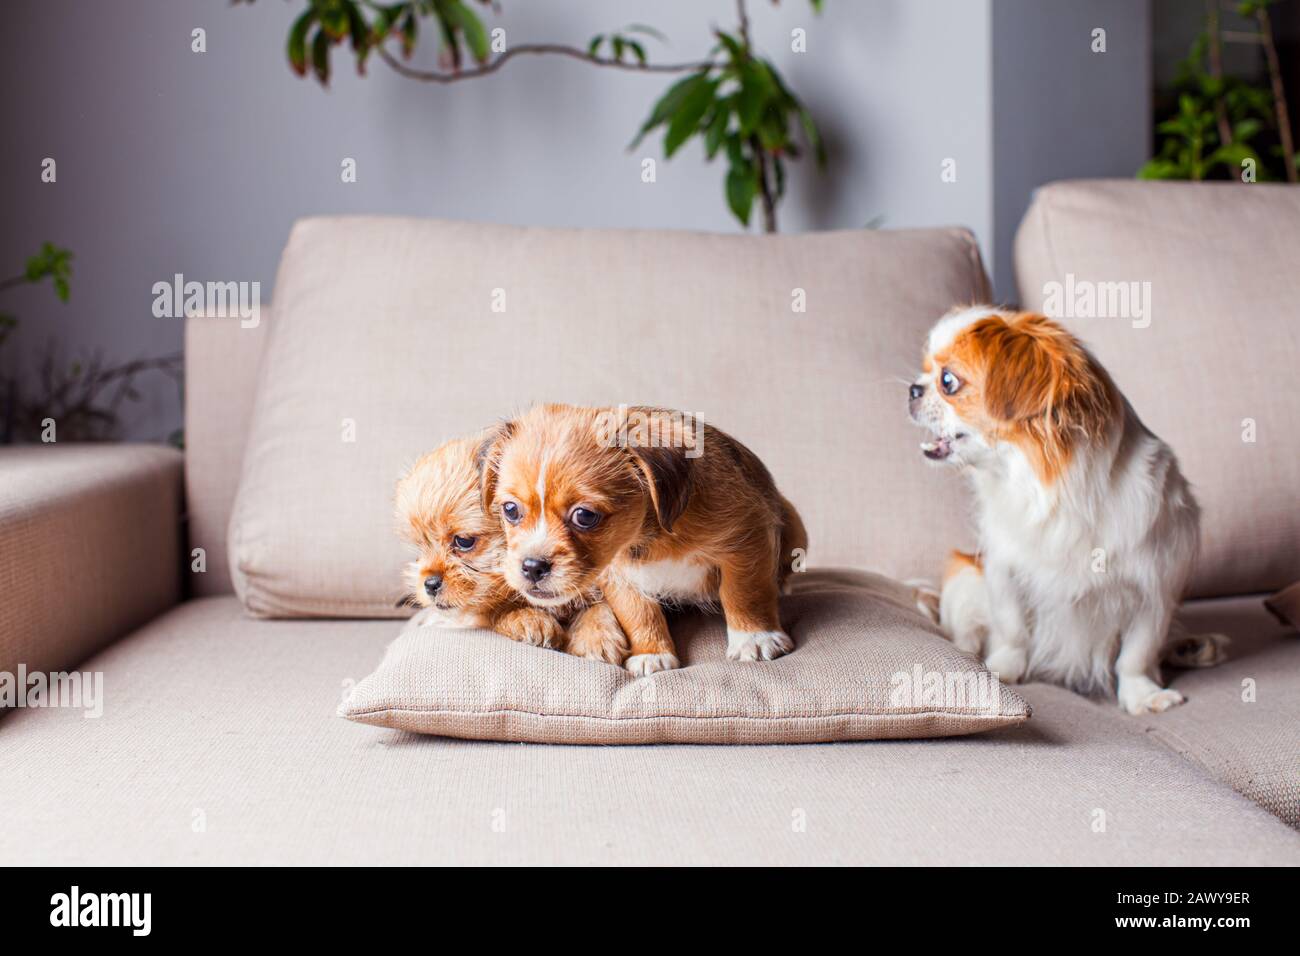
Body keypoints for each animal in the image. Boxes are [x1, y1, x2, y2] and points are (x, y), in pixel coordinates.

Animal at [478, 408, 800, 676]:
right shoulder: (618, 575)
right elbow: (638, 613)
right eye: (510, 510)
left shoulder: (746, 538)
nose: (532, 567)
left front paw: (754, 638)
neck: (651, 536)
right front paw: (652, 652)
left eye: (584, 516)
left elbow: (744, 593)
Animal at [909, 310, 1222, 712]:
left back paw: (1189, 649)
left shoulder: (1154, 587)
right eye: (926, 372)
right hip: (963, 577)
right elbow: (1012, 630)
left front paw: (1142, 695)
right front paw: (1001, 668)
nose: (914, 389)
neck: (1050, 492)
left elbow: (1136, 653)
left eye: (948, 381)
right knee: (965, 630)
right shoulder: (1003, 570)